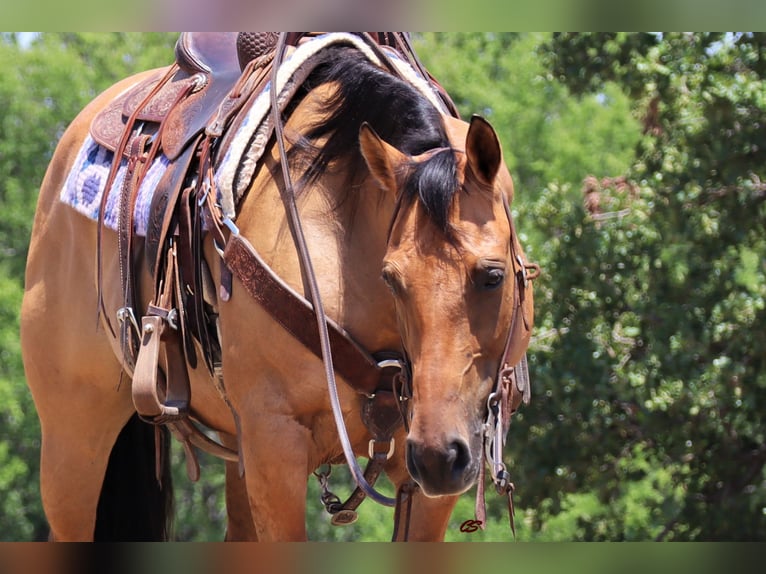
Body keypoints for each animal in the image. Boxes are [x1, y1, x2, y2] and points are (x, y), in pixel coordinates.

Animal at [18, 33, 536, 544]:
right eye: (392, 278)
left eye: (492, 276)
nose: (438, 456)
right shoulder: (275, 443)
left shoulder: (426, 479)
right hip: (73, 442)